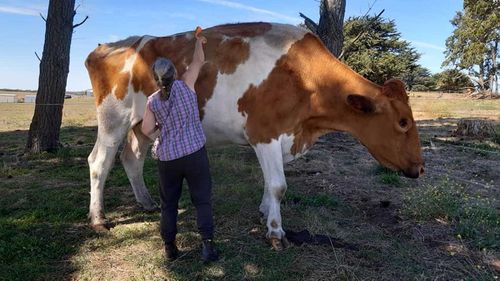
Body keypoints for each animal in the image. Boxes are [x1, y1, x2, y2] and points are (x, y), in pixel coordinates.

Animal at [85, 22, 422, 249]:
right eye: (403, 122)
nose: (419, 168)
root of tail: (113, 45)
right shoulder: (265, 133)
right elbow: (278, 185)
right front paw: (276, 233)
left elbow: (269, 184)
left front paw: (264, 213)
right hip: (113, 120)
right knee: (99, 163)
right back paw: (98, 220)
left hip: (142, 124)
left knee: (132, 159)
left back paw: (146, 202)